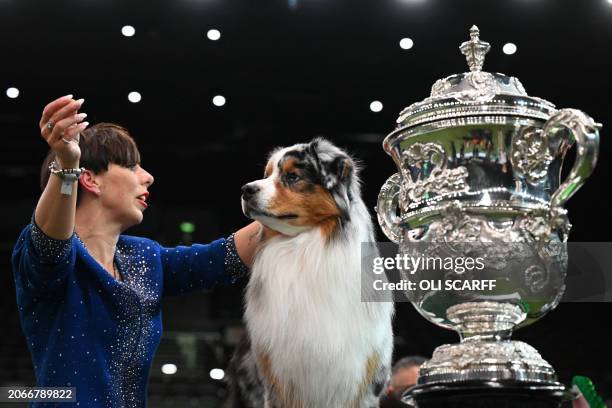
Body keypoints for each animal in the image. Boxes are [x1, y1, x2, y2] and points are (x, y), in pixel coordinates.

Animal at [227, 139, 394, 408]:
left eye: (293, 177)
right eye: (267, 174)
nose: (246, 190)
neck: (304, 245)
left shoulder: (365, 382)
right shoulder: (277, 382)